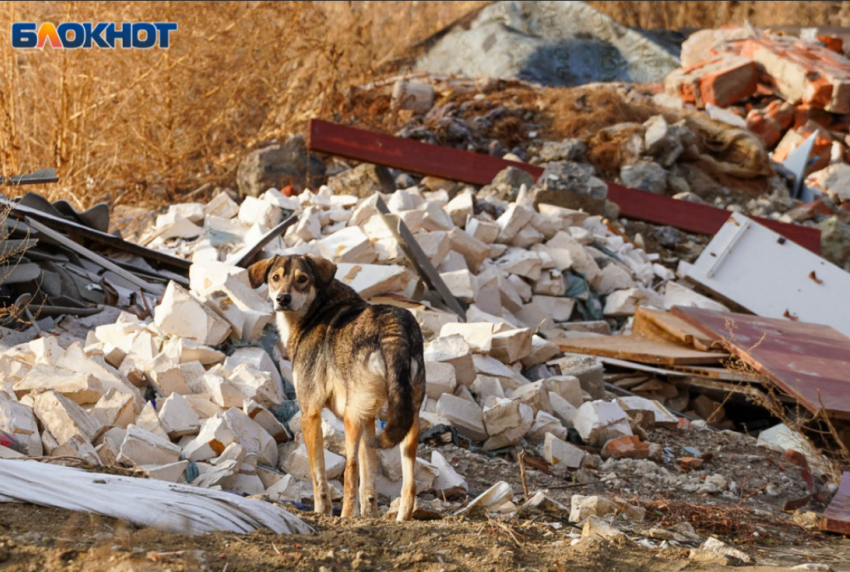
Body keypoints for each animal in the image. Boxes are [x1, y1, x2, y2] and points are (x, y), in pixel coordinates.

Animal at [248, 252, 428, 520]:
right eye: (275, 277)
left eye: (302, 279)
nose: (282, 299)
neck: (315, 309)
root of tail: (394, 329)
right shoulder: (370, 419)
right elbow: (369, 480)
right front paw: (369, 515)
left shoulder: (309, 413)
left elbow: (318, 475)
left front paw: (321, 511)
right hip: (408, 417)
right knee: (409, 482)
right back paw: (400, 518)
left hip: (351, 418)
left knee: (350, 470)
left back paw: (344, 516)